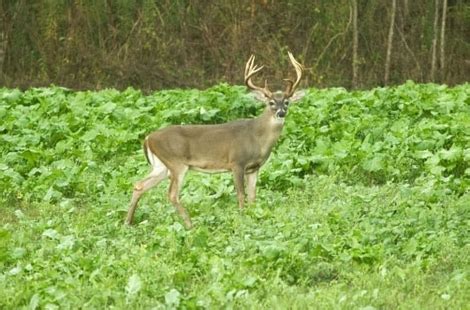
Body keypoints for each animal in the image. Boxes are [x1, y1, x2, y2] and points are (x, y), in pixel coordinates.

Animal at [126, 52, 306, 229]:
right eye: (271, 103)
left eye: (287, 102)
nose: (281, 113)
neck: (257, 138)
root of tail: (148, 138)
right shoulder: (236, 162)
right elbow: (241, 194)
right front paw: (242, 219)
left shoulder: (254, 168)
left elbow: (253, 196)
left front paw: (253, 216)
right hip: (176, 163)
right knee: (172, 194)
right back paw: (190, 225)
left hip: (161, 166)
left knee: (139, 185)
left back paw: (127, 223)